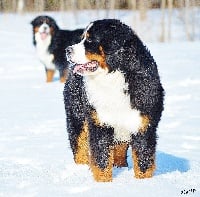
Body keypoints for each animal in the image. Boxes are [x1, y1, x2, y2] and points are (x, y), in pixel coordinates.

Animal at [64, 18, 164, 182]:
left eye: (90, 39)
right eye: (82, 38)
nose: (67, 50)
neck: (113, 78)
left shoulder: (144, 125)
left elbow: (143, 161)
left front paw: (143, 183)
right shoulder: (99, 123)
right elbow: (101, 160)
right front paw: (104, 183)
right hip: (77, 117)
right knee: (80, 148)